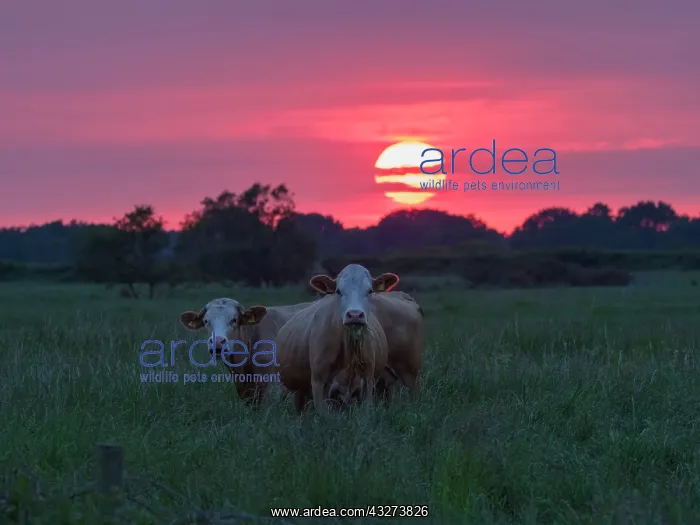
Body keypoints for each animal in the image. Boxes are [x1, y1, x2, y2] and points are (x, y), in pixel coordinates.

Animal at [275, 264, 395, 414]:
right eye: (338, 291)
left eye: (370, 290)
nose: (354, 315)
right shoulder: (318, 380)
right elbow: (324, 415)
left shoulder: (368, 377)